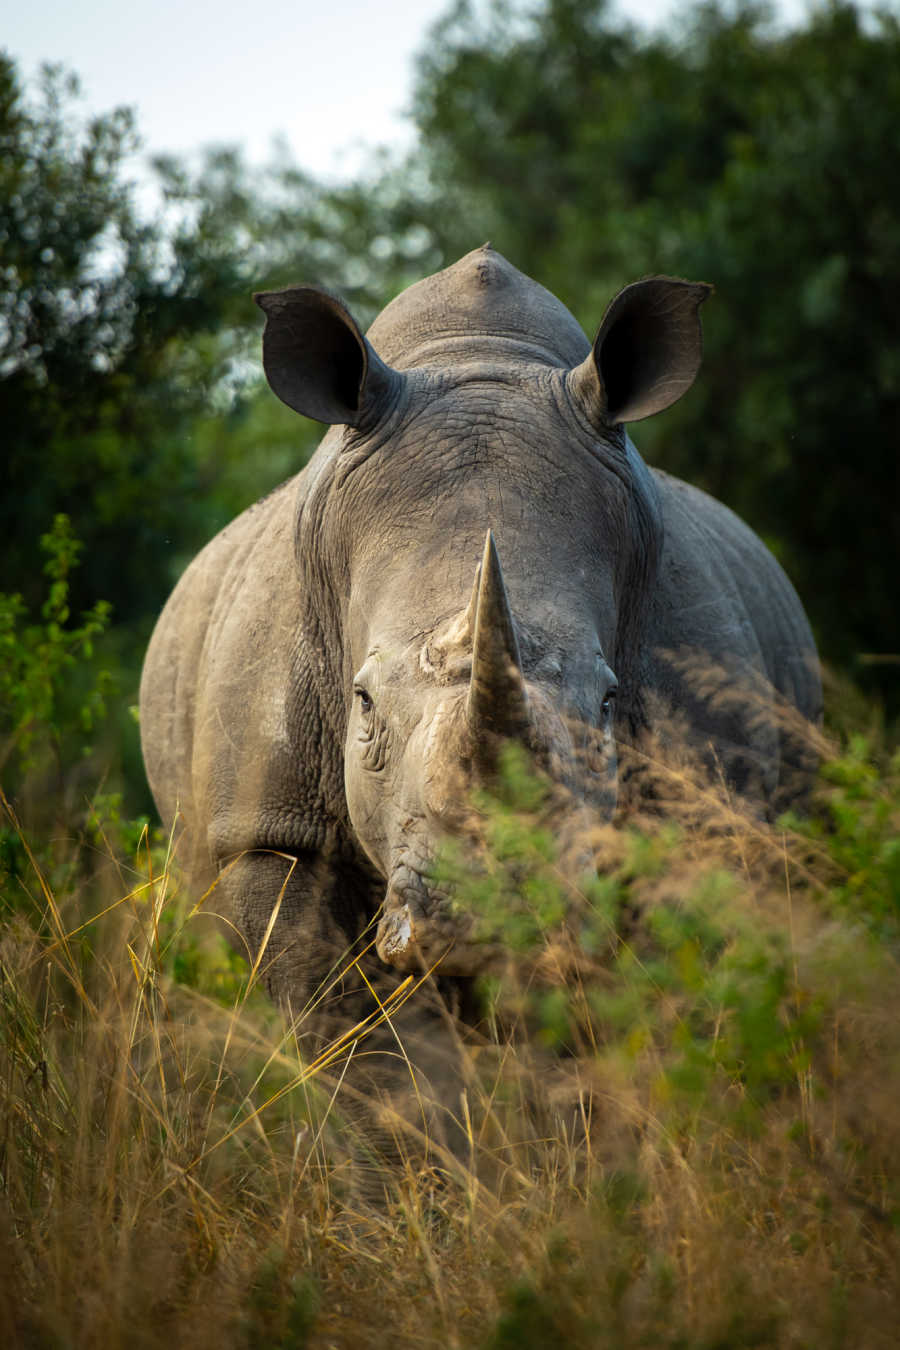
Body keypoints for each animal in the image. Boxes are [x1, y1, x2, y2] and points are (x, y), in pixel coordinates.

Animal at [141, 245, 825, 1020]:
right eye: (363, 702)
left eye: (608, 703)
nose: (491, 922)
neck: (477, 352)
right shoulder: (267, 832)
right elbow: (323, 1004)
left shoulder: (706, 811)